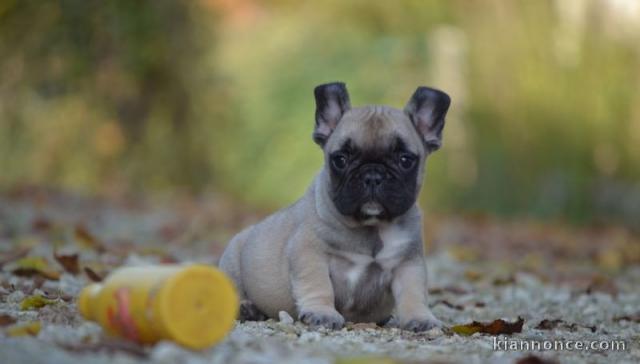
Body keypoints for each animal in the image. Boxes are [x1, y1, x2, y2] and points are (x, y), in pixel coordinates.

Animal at [220, 82, 450, 330]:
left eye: (405, 160)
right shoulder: (309, 253)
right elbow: (319, 285)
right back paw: (247, 308)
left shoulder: (408, 264)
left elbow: (413, 292)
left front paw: (420, 317)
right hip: (232, 263)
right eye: (340, 159)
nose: (372, 175)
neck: (371, 228)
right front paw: (322, 313)